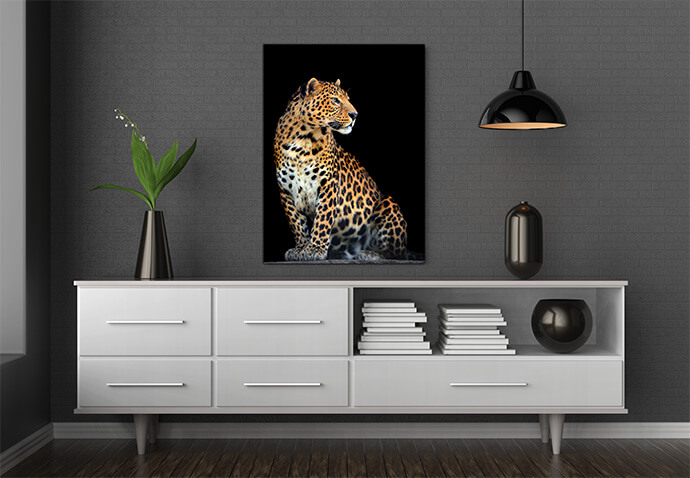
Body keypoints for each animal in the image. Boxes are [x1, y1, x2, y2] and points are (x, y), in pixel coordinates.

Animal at [272, 77, 421, 262]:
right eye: (335, 100)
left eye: (348, 99)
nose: (355, 115)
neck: (302, 139)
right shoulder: (285, 191)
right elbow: (297, 223)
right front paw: (301, 248)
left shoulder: (328, 185)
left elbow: (322, 219)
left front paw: (315, 249)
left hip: (388, 203)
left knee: (395, 253)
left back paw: (369, 254)